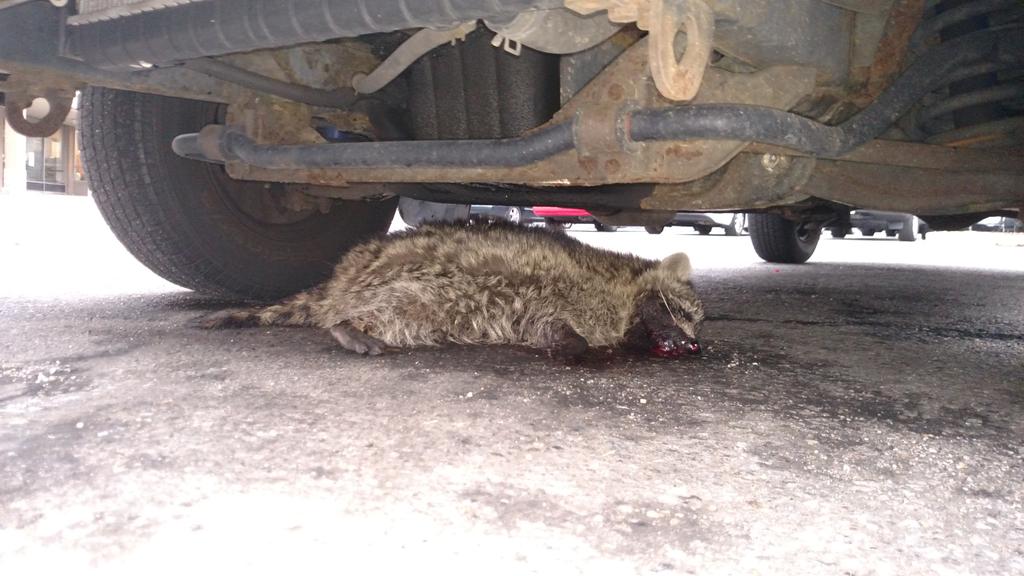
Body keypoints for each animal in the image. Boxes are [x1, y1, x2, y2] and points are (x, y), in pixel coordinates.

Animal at [201, 223, 705, 357]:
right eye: (685, 313)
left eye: (700, 325)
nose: (696, 344)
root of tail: (341, 277)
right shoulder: (568, 280)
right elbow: (558, 318)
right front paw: (577, 343)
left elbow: (543, 326)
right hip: (415, 284)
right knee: (397, 303)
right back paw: (349, 324)